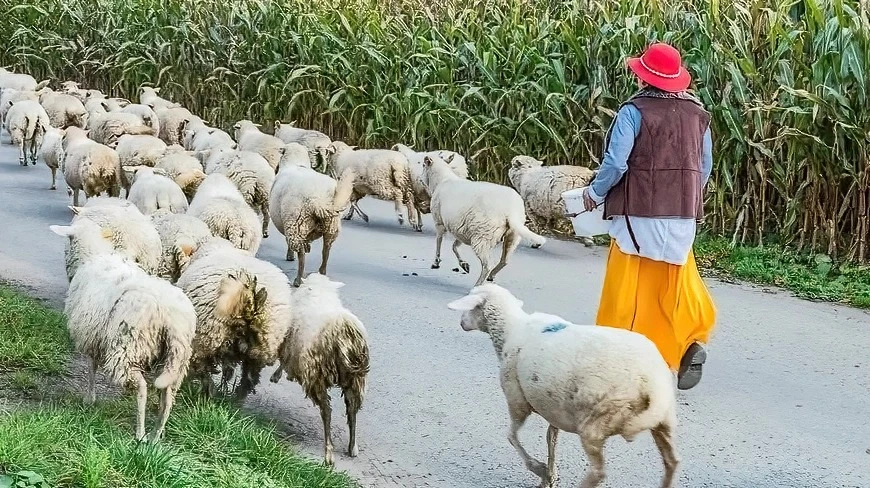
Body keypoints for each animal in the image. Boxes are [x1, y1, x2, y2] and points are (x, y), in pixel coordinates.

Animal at [50, 218, 197, 442]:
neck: (94, 255)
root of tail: (173, 318)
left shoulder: (91, 337)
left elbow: (91, 368)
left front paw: (89, 399)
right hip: (176, 359)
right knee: (167, 398)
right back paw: (155, 436)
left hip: (128, 348)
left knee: (142, 388)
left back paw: (140, 433)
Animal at [176, 241, 292, 400]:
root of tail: (248, 297)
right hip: (263, 345)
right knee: (250, 377)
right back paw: (237, 399)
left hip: (204, 337)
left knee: (201, 368)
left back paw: (209, 392)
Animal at [270, 272, 370, 468]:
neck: (318, 288)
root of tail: (344, 333)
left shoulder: (289, 344)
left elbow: (284, 361)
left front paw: (277, 375)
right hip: (355, 379)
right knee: (352, 412)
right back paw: (352, 447)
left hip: (317, 375)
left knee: (327, 411)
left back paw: (328, 453)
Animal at [422, 155, 544, 286]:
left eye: (423, 165)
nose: (420, 179)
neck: (442, 179)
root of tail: (510, 211)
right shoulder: (462, 230)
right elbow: (455, 246)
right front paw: (464, 264)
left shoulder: (439, 221)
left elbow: (439, 241)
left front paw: (436, 262)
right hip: (512, 235)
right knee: (504, 261)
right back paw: (491, 276)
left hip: (482, 236)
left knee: (487, 265)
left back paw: (478, 284)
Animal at [450, 282, 680, 488]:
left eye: (470, 306)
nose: (461, 323)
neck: (511, 328)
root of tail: (653, 383)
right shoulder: (553, 407)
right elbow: (550, 439)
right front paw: (549, 476)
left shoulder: (517, 400)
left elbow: (512, 436)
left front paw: (539, 469)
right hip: (664, 420)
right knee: (672, 462)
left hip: (596, 421)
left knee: (598, 472)